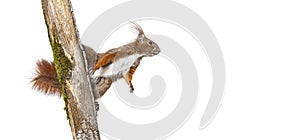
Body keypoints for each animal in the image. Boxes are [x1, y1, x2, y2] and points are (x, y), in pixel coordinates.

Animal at [31, 21, 161, 99]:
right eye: (150, 42)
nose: (159, 50)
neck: (137, 54)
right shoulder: (119, 52)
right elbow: (106, 58)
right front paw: (94, 68)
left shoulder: (131, 66)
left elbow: (127, 76)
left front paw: (131, 86)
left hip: (105, 81)